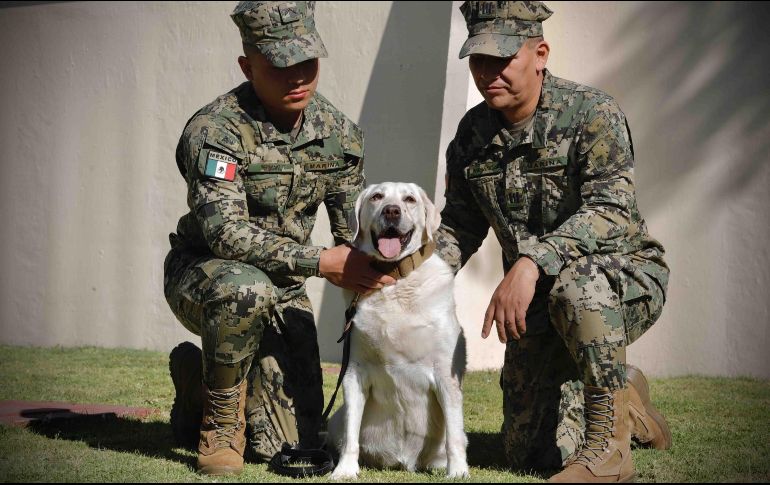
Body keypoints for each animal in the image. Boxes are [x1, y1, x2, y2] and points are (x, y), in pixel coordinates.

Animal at [326, 182, 468, 480]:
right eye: (377, 197)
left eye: (409, 199)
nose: (391, 211)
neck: (394, 280)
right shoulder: (354, 371)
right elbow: (351, 433)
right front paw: (345, 470)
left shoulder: (445, 373)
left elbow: (453, 435)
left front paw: (458, 472)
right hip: (335, 419)